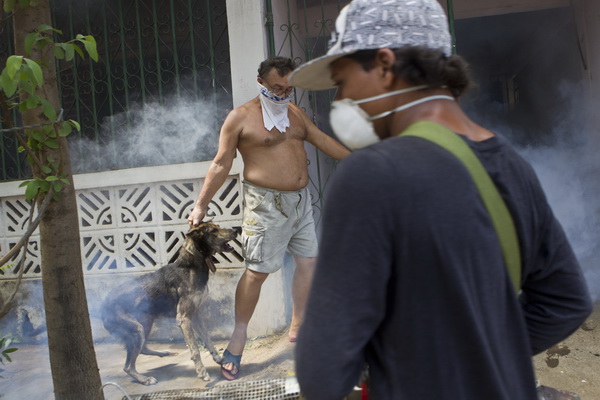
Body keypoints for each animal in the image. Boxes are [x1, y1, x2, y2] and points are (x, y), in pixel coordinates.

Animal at [101, 220, 237, 386]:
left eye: (218, 226)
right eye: (213, 230)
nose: (237, 230)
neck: (190, 265)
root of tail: (102, 306)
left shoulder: (195, 314)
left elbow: (207, 338)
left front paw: (217, 358)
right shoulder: (183, 318)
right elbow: (195, 350)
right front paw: (202, 372)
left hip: (145, 324)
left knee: (143, 348)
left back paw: (163, 353)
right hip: (137, 329)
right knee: (127, 366)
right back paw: (144, 379)